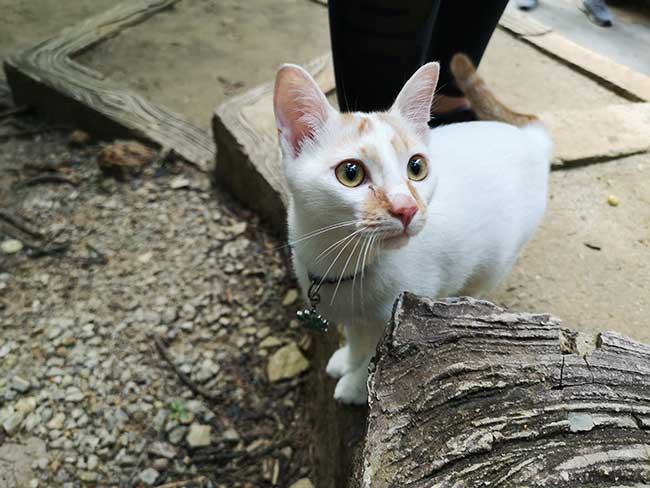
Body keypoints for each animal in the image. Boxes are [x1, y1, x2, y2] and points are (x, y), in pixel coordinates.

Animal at [270, 53, 548, 404]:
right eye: (351, 173)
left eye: (417, 167)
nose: (407, 208)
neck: (344, 263)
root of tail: (531, 138)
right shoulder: (354, 317)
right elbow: (356, 339)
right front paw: (347, 360)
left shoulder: (397, 323)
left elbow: (374, 361)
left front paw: (355, 387)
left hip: (495, 264)